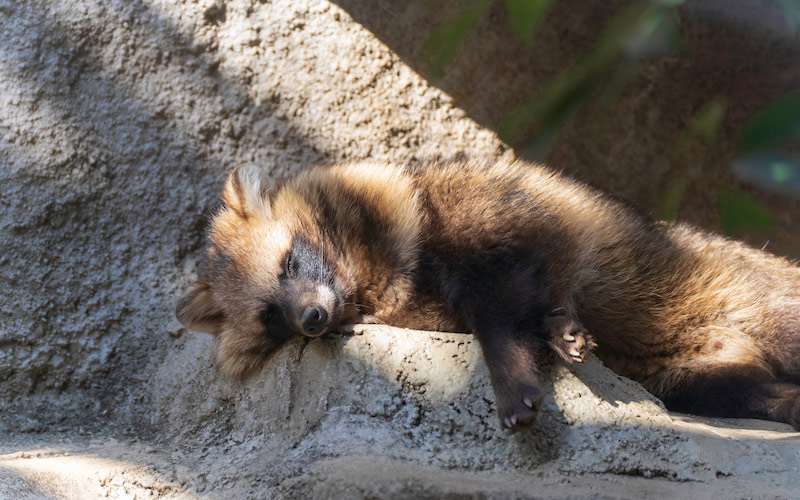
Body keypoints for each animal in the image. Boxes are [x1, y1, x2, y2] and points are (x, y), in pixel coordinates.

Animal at [177, 159, 800, 430]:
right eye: (268, 316)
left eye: (288, 261)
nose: (310, 317)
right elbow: (512, 318)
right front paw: (557, 336)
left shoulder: (509, 237)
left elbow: (496, 323)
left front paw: (515, 382)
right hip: (700, 381)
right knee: (765, 396)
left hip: (768, 322)